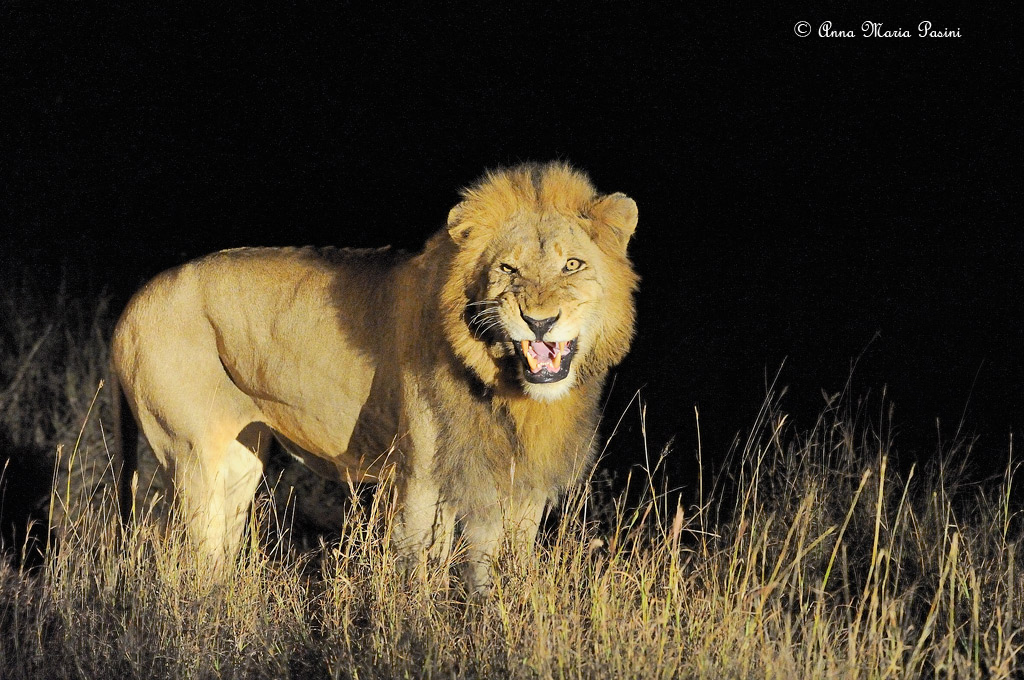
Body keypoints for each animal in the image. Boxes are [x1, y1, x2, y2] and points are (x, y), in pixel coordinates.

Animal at [112, 160, 638, 589]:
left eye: (572, 265)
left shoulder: (520, 486)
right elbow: (419, 575)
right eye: (508, 268)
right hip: (190, 452)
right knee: (185, 552)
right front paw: (417, 638)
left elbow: (498, 575)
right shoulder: (423, 480)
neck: (509, 388)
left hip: (241, 459)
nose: (539, 321)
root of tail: (130, 304)